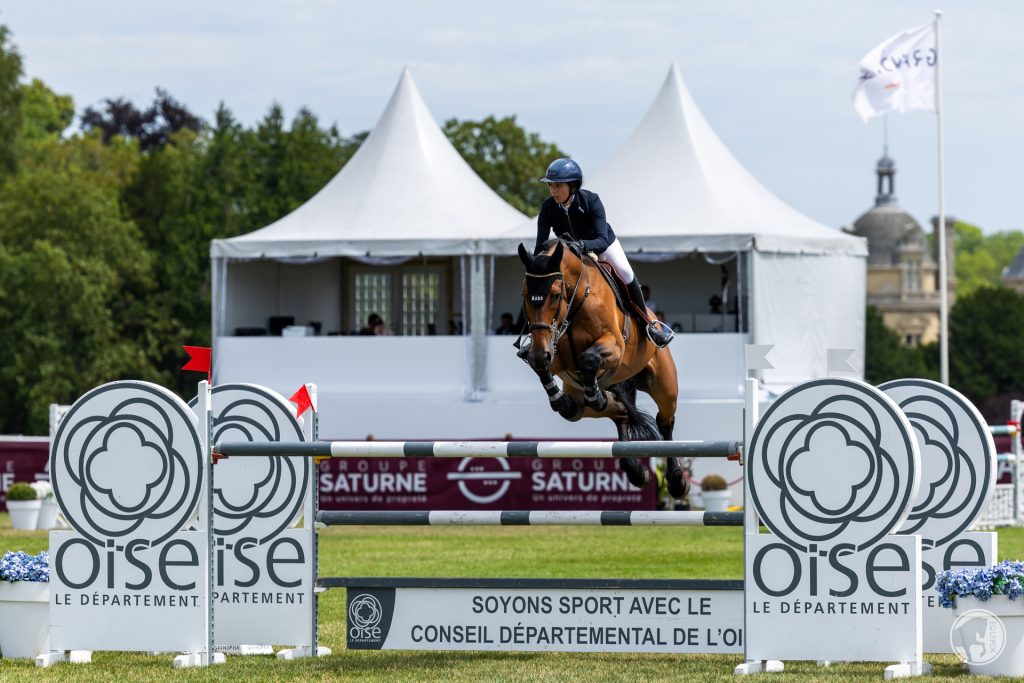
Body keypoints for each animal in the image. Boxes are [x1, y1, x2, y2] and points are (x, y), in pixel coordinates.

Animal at [520, 239, 688, 497]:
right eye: (525, 295)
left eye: (556, 295)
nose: (541, 353)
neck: (577, 299)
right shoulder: (556, 354)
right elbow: (543, 368)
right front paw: (559, 398)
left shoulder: (614, 346)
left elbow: (589, 359)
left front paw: (595, 395)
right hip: (584, 395)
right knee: (614, 412)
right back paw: (635, 471)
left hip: (664, 385)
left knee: (665, 421)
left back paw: (677, 481)